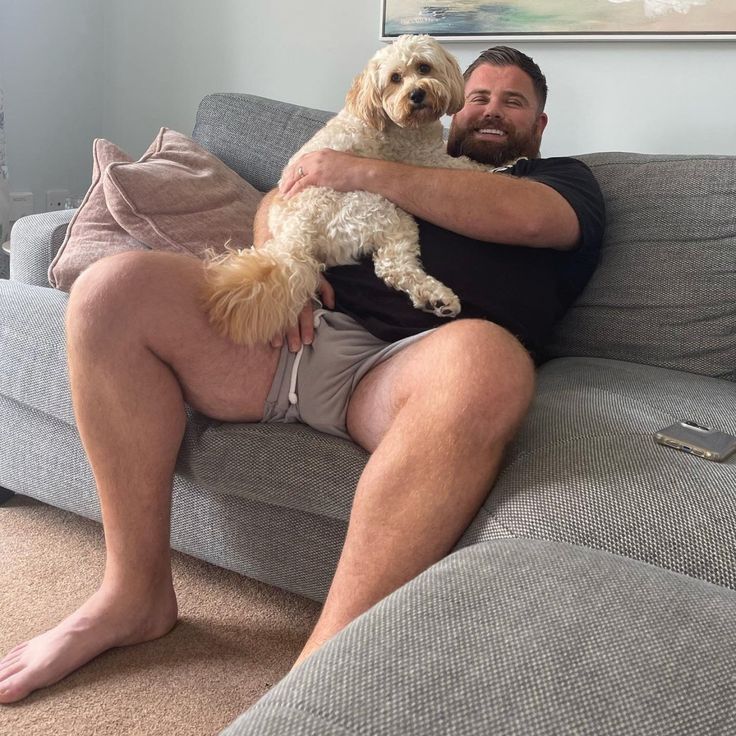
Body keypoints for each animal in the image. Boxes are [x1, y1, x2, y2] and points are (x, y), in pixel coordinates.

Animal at [203, 34, 488, 344]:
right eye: (395, 78)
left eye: (424, 67)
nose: (416, 94)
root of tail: (296, 238)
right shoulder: (422, 160)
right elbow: (459, 165)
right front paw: (489, 167)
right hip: (383, 210)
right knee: (392, 265)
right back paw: (439, 296)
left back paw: (434, 299)